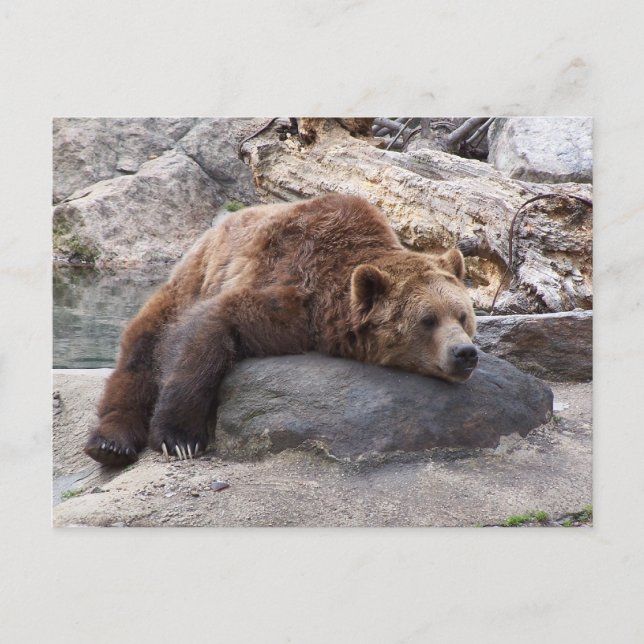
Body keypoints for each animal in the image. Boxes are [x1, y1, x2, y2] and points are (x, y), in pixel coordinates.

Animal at [84, 194, 478, 466]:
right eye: (428, 319)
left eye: (462, 316)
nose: (465, 353)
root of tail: (210, 231)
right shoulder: (291, 293)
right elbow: (208, 327)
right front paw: (180, 438)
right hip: (186, 284)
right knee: (140, 353)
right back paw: (110, 443)